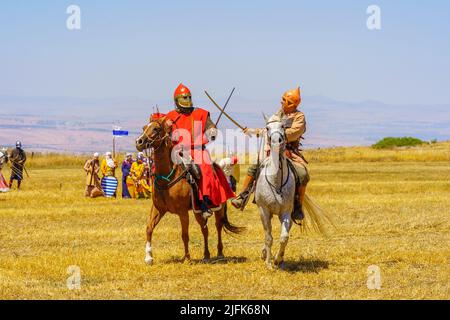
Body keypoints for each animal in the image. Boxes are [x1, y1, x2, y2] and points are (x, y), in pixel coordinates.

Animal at [136, 115, 243, 264]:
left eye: (156, 129)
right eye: (144, 127)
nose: (139, 142)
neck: (167, 176)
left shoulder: (182, 212)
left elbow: (184, 234)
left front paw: (187, 258)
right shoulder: (158, 209)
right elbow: (149, 228)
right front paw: (148, 257)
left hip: (219, 207)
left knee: (218, 225)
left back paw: (220, 253)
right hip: (198, 210)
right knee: (205, 229)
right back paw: (206, 254)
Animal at [255, 114, 298, 268]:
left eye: (283, 126)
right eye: (267, 128)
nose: (276, 141)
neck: (276, 181)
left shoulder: (286, 212)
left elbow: (284, 237)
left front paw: (277, 259)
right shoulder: (264, 211)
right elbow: (268, 237)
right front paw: (268, 263)